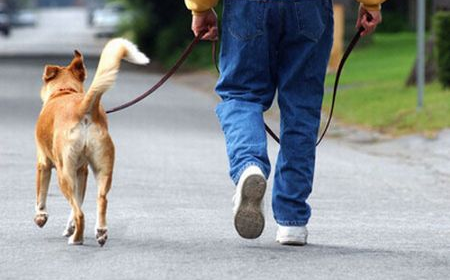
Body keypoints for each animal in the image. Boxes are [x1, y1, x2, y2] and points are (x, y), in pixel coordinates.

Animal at [34, 38, 149, 245]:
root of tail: (83, 108)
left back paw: (77, 239)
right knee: (100, 200)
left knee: (80, 212)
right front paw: (69, 227)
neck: (65, 91)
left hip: (64, 173)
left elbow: (41, 195)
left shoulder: (43, 164)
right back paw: (100, 231)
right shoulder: (83, 171)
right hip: (102, 169)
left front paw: (41, 217)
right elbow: (78, 202)